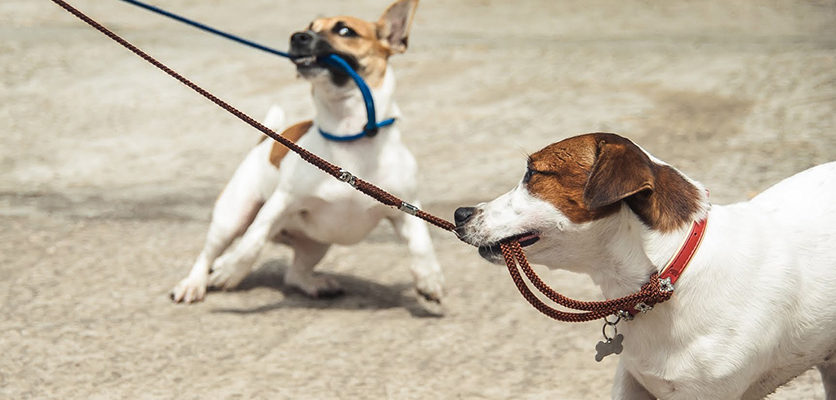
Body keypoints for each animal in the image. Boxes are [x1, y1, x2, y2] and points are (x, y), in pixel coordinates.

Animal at [171, 0, 444, 304]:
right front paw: (231, 270)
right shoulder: (280, 203)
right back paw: (195, 282)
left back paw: (315, 284)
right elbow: (252, 242)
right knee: (210, 253)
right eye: (310, 27)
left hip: (316, 245)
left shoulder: (407, 208)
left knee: (294, 273)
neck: (350, 136)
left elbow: (422, 244)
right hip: (231, 217)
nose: (297, 36)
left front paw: (429, 279)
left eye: (345, 30)